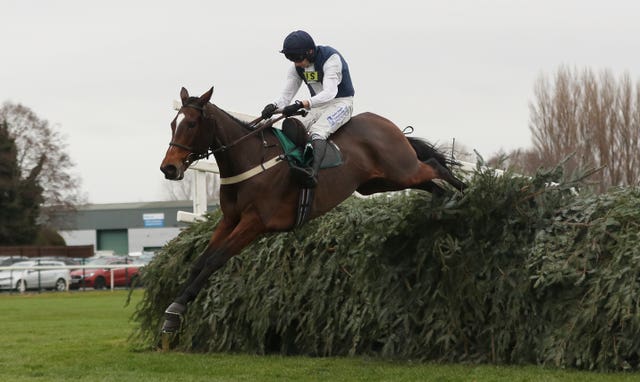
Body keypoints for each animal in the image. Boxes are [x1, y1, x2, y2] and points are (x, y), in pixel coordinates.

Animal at [158, 86, 462, 338]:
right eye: (173, 124)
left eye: (192, 124)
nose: (169, 168)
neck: (250, 159)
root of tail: (388, 124)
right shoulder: (230, 220)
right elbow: (199, 262)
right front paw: (174, 310)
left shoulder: (254, 223)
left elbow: (214, 260)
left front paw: (176, 308)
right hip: (380, 182)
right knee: (431, 183)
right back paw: (451, 201)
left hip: (401, 169)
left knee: (436, 166)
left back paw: (468, 192)